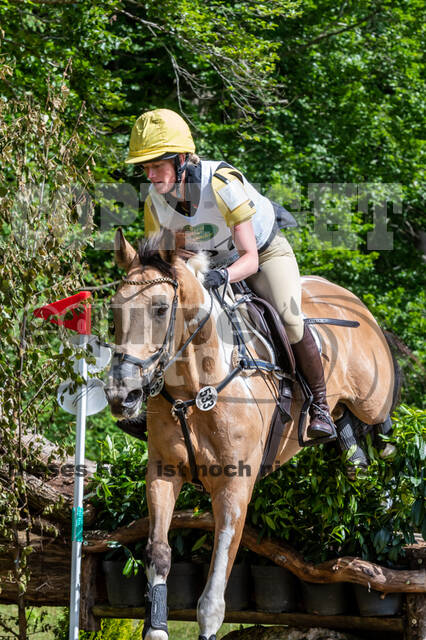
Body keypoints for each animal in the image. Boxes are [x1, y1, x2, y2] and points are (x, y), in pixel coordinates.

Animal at [105, 227, 397, 640]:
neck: (194, 388)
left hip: (373, 402)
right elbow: (158, 552)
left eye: (161, 308)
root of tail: (353, 300)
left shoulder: (234, 486)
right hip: (345, 419)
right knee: (356, 454)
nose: (121, 396)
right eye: (114, 312)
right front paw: (157, 628)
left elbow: (215, 587)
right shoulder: (162, 474)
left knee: (386, 439)